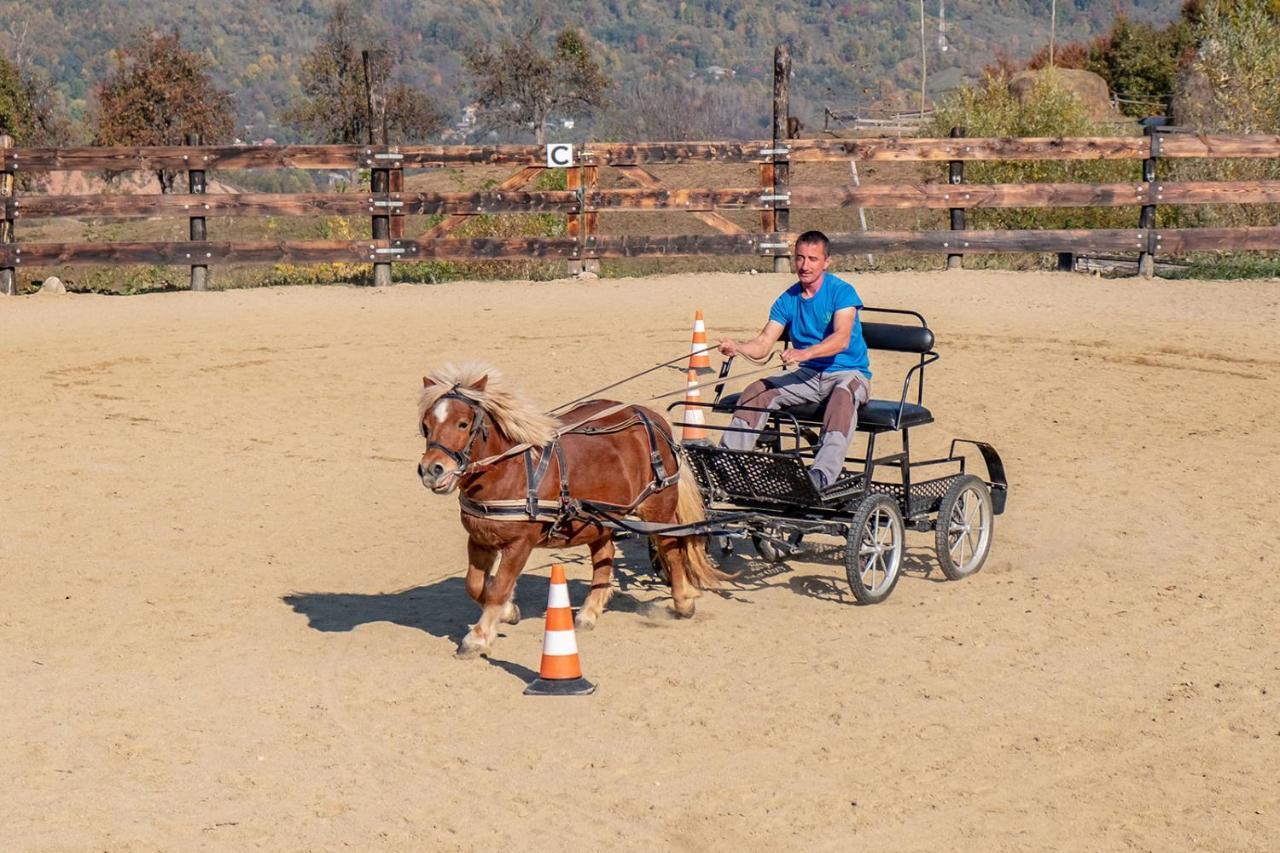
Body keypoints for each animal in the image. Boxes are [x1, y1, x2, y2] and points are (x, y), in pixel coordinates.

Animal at [417, 361, 727, 653]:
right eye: (426, 425)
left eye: (463, 423)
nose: (431, 470)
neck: (511, 470)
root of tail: (650, 416)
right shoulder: (480, 538)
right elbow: (475, 585)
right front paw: (508, 612)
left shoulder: (520, 544)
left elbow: (499, 587)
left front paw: (478, 638)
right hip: (599, 518)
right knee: (605, 555)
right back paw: (590, 611)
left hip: (658, 508)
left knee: (671, 548)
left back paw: (683, 600)